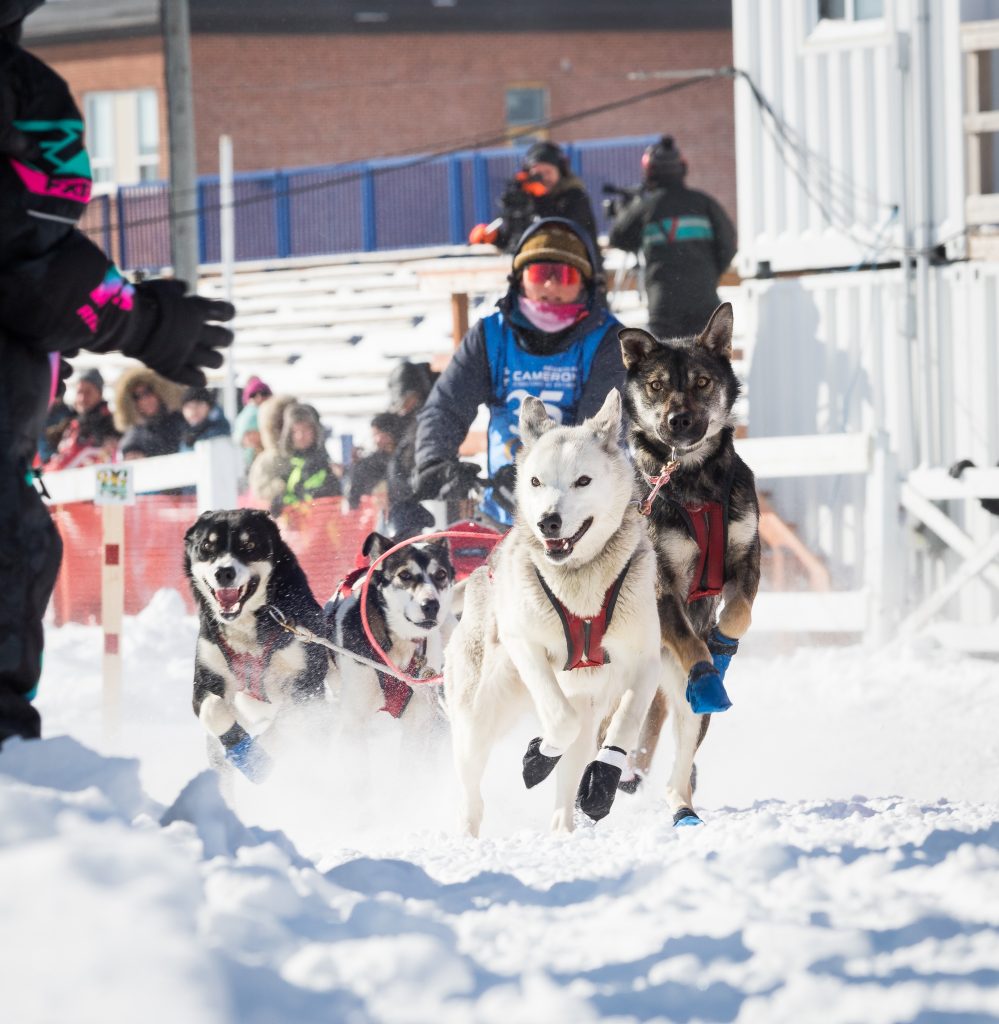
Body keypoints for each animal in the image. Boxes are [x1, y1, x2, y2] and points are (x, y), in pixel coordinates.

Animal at [183, 512, 331, 782]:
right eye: (207, 546)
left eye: (249, 545)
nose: (224, 572)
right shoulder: (206, 678)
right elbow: (212, 709)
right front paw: (238, 744)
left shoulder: (305, 685)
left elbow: (284, 726)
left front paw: (256, 757)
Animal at [444, 387, 663, 835]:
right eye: (535, 481)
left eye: (583, 480)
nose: (548, 521)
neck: (580, 583)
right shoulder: (525, 646)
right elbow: (559, 722)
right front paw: (538, 755)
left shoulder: (646, 660)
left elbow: (625, 724)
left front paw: (603, 780)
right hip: (478, 718)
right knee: (472, 794)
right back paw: (470, 832)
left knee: (574, 762)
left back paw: (564, 826)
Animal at [618, 299, 765, 823]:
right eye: (657, 385)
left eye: (702, 381)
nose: (678, 421)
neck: (692, 481)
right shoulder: (661, 585)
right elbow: (687, 640)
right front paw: (705, 674)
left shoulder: (746, 556)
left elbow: (738, 614)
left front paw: (721, 645)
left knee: (678, 755)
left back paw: (681, 805)